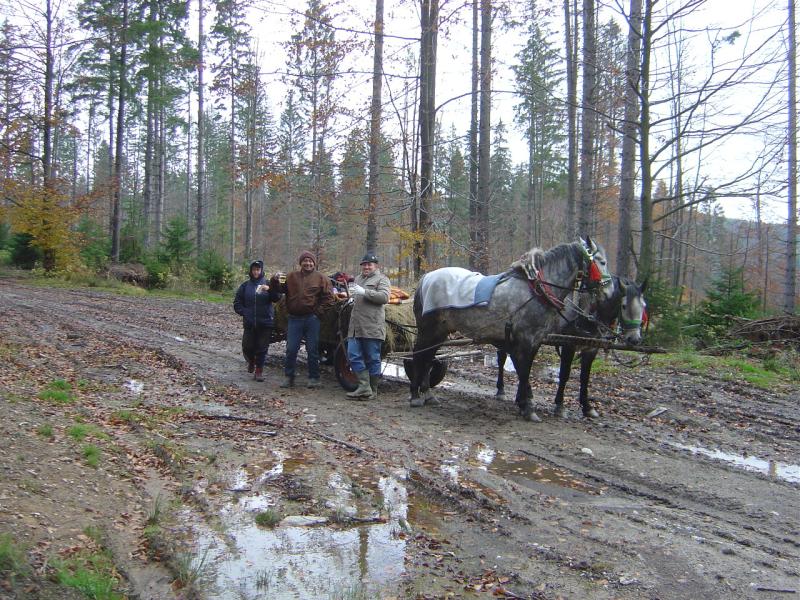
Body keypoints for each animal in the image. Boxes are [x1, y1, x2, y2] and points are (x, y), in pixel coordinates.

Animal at [408, 239, 611, 422]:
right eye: (602, 261)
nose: (607, 291)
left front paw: (523, 403)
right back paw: (415, 395)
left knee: (428, 358)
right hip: (428, 330)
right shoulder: (526, 339)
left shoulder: (534, 341)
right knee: (419, 356)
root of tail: (426, 278)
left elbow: (524, 371)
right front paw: (528, 408)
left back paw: (427, 394)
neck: (536, 291)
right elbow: (525, 372)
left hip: (440, 332)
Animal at [495, 276, 647, 418]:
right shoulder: (569, 344)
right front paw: (560, 405)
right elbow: (564, 374)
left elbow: (585, 378)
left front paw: (587, 407)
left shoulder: (591, 349)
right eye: (624, 306)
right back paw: (502, 391)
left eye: (644, 306)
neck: (589, 310)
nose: (634, 339)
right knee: (503, 359)